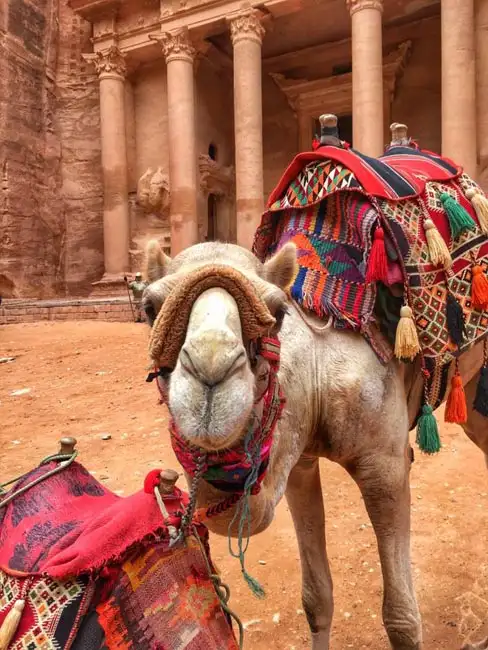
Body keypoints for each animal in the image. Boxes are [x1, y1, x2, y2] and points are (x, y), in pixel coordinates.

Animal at [142, 237, 488, 648]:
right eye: (149, 308)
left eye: (277, 312)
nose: (211, 368)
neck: (318, 371)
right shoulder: (298, 463)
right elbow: (316, 599)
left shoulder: (385, 465)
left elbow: (402, 620)